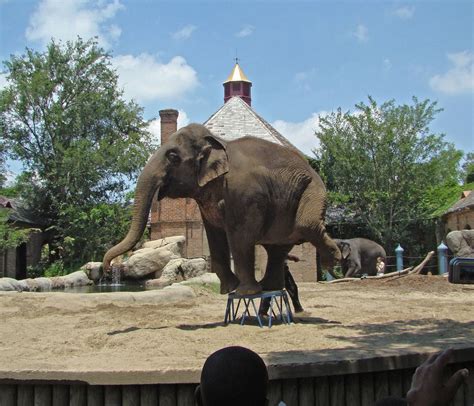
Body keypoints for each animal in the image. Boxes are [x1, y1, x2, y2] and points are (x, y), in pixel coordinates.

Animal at [103, 123, 340, 294]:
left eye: (172, 156)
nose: (107, 268)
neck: (218, 141)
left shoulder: (245, 192)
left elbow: (240, 236)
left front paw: (244, 293)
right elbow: (215, 236)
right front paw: (229, 290)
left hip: (312, 189)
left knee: (305, 225)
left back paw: (333, 258)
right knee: (278, 247)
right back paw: (269, 287)